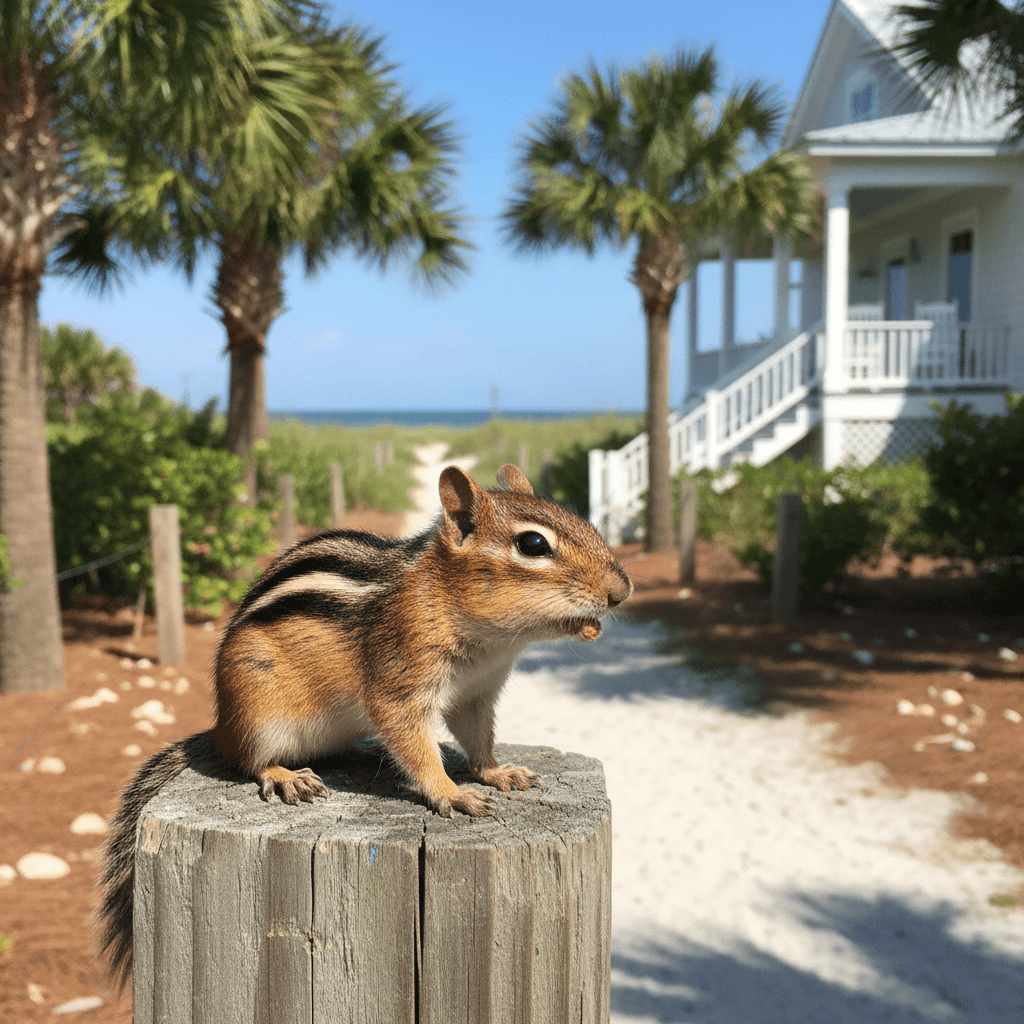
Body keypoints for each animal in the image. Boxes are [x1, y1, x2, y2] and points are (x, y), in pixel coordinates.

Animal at [97, 462, 631, 989]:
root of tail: (219, 729)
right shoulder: (398, 685)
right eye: (533, 544)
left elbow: (479, 742)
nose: (621, 590)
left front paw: (499, 772)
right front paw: (451, 791)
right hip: (257, 712)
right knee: (250, 760)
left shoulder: (476, 694)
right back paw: (284, 776)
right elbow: (416, 745)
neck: (487, 635)